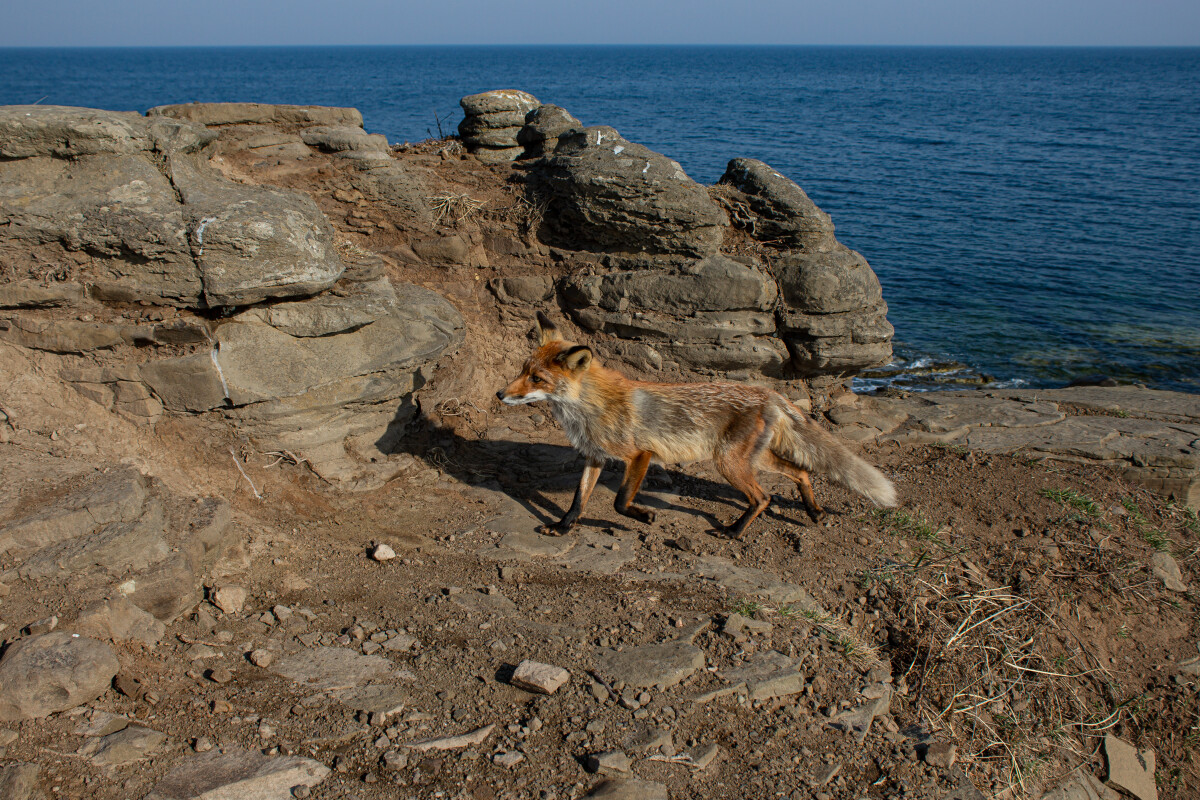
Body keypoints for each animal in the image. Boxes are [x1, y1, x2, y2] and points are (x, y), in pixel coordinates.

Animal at [492, 311, 897, 537]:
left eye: (537, 379)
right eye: (522, 371)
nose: (499, 394)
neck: (589, 409)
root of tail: (769, 393)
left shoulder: (639, 455)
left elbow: (620, 502)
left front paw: (645, 516)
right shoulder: (595, 456)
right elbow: (578, 501)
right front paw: (562, 528)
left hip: (729, 463)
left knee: (764, 497)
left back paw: (734, 532)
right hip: (754, 459)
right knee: (801, 472)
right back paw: (813, 511)